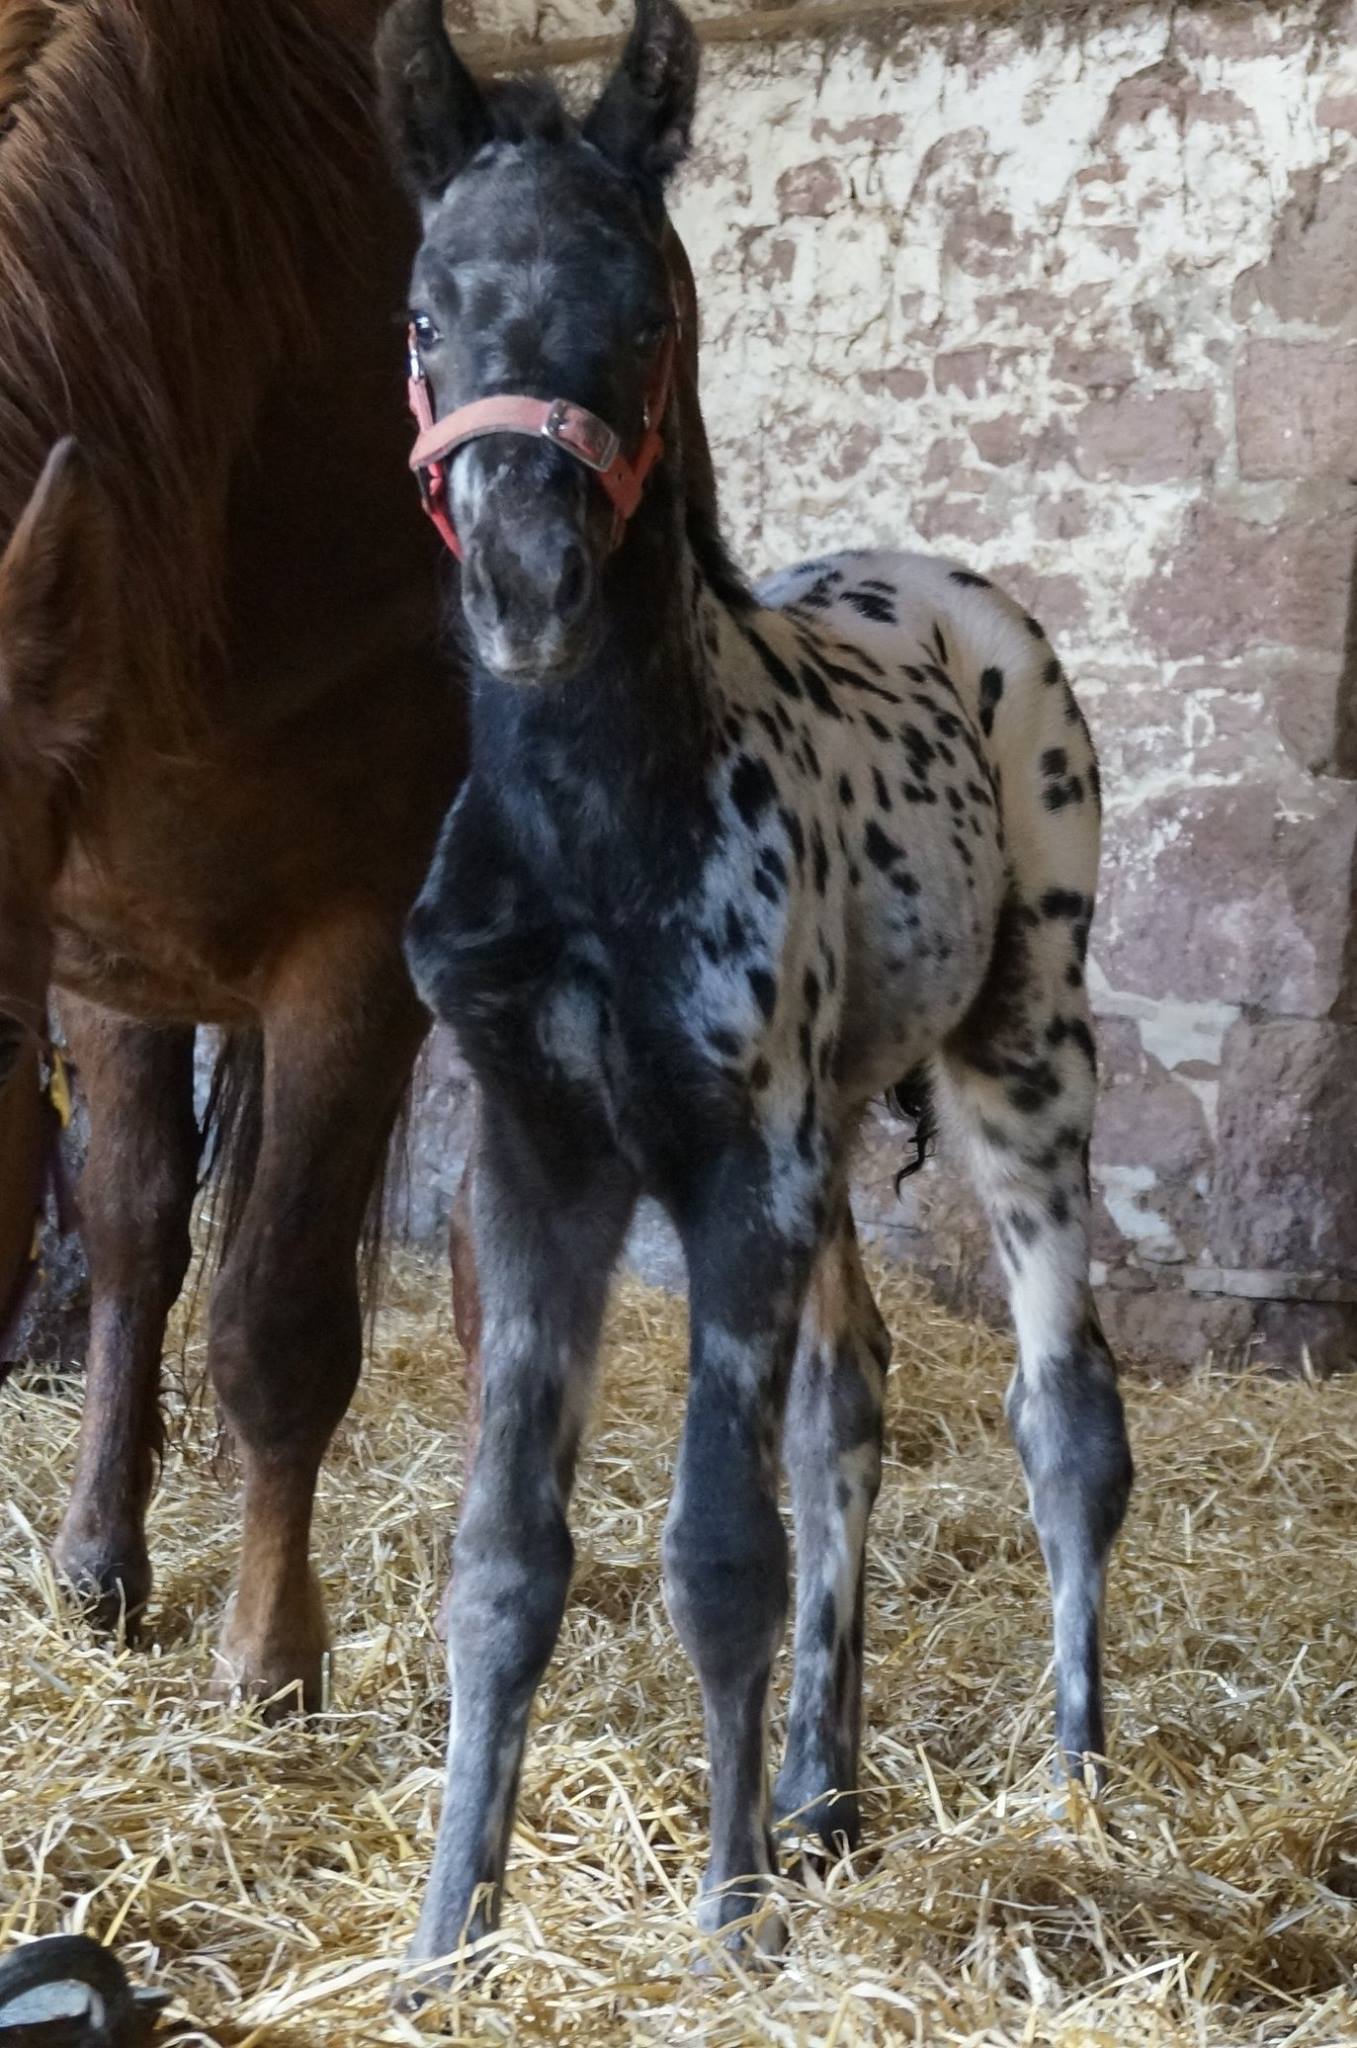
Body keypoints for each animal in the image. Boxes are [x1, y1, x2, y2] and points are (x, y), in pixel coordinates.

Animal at [0, 0, 716, 1712]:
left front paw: (272, 1657)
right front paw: (99, 1564)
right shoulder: (99, 949)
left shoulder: (350, 955)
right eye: (415, 320)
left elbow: (277, 1321)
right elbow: (131, 1231)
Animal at [376, 0, 1129, 1974]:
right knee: (846, 1399)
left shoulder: (735, 1159)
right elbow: (504, 1561)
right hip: (835, 1123)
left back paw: (1077, 1788)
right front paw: (447, 1935)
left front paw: (723, 1931)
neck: (595, 823)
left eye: (645, 309)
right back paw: (819, 1794)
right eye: (424, 314)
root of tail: (946, 584)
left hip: (1019, 1051)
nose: (527, 582)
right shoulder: (541, 1155)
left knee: (1063, 1416)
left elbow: (717, 1554)